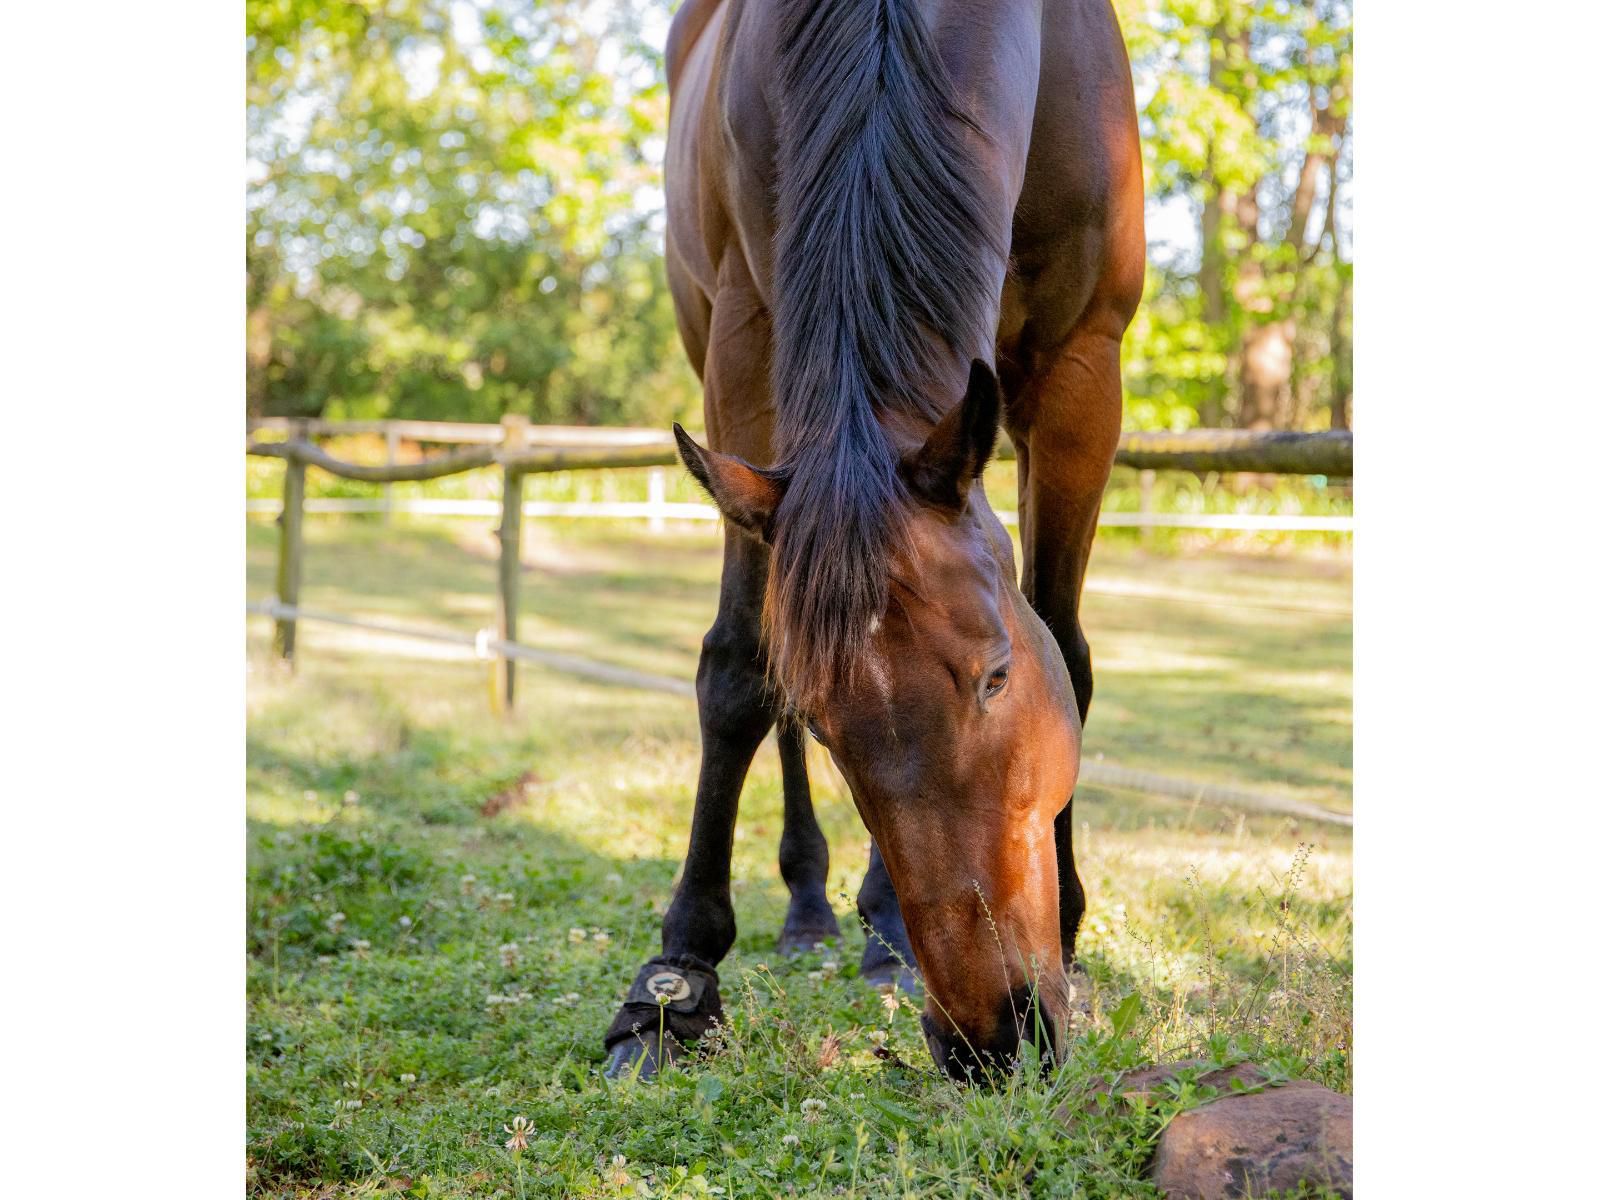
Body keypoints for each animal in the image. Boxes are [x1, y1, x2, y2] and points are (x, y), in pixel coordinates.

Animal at [601, 0, 1139, 1088]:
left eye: (995, 677)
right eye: (824, 719)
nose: (993, 1038)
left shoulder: (1083, 370)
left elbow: (1068, 649)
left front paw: (1067, 931)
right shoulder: (747, 339)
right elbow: (740, 670)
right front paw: (677, 983)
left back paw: (887, 935)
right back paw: (814, 907)